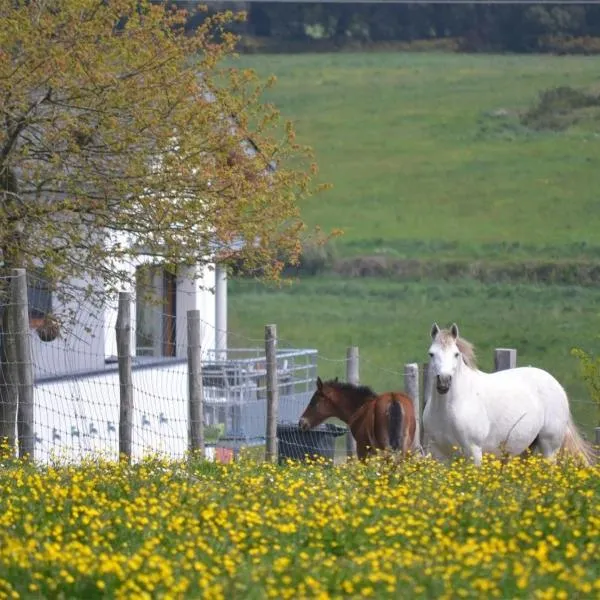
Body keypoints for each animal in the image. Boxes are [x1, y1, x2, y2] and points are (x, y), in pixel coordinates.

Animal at [422, 322, 596, 466]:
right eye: (431, 354)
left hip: (549, 447)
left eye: (456, 354)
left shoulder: (474, 451)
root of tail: (556, 384)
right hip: (527, 449)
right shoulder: (440, 454)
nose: (444, 382)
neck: (450, 408)